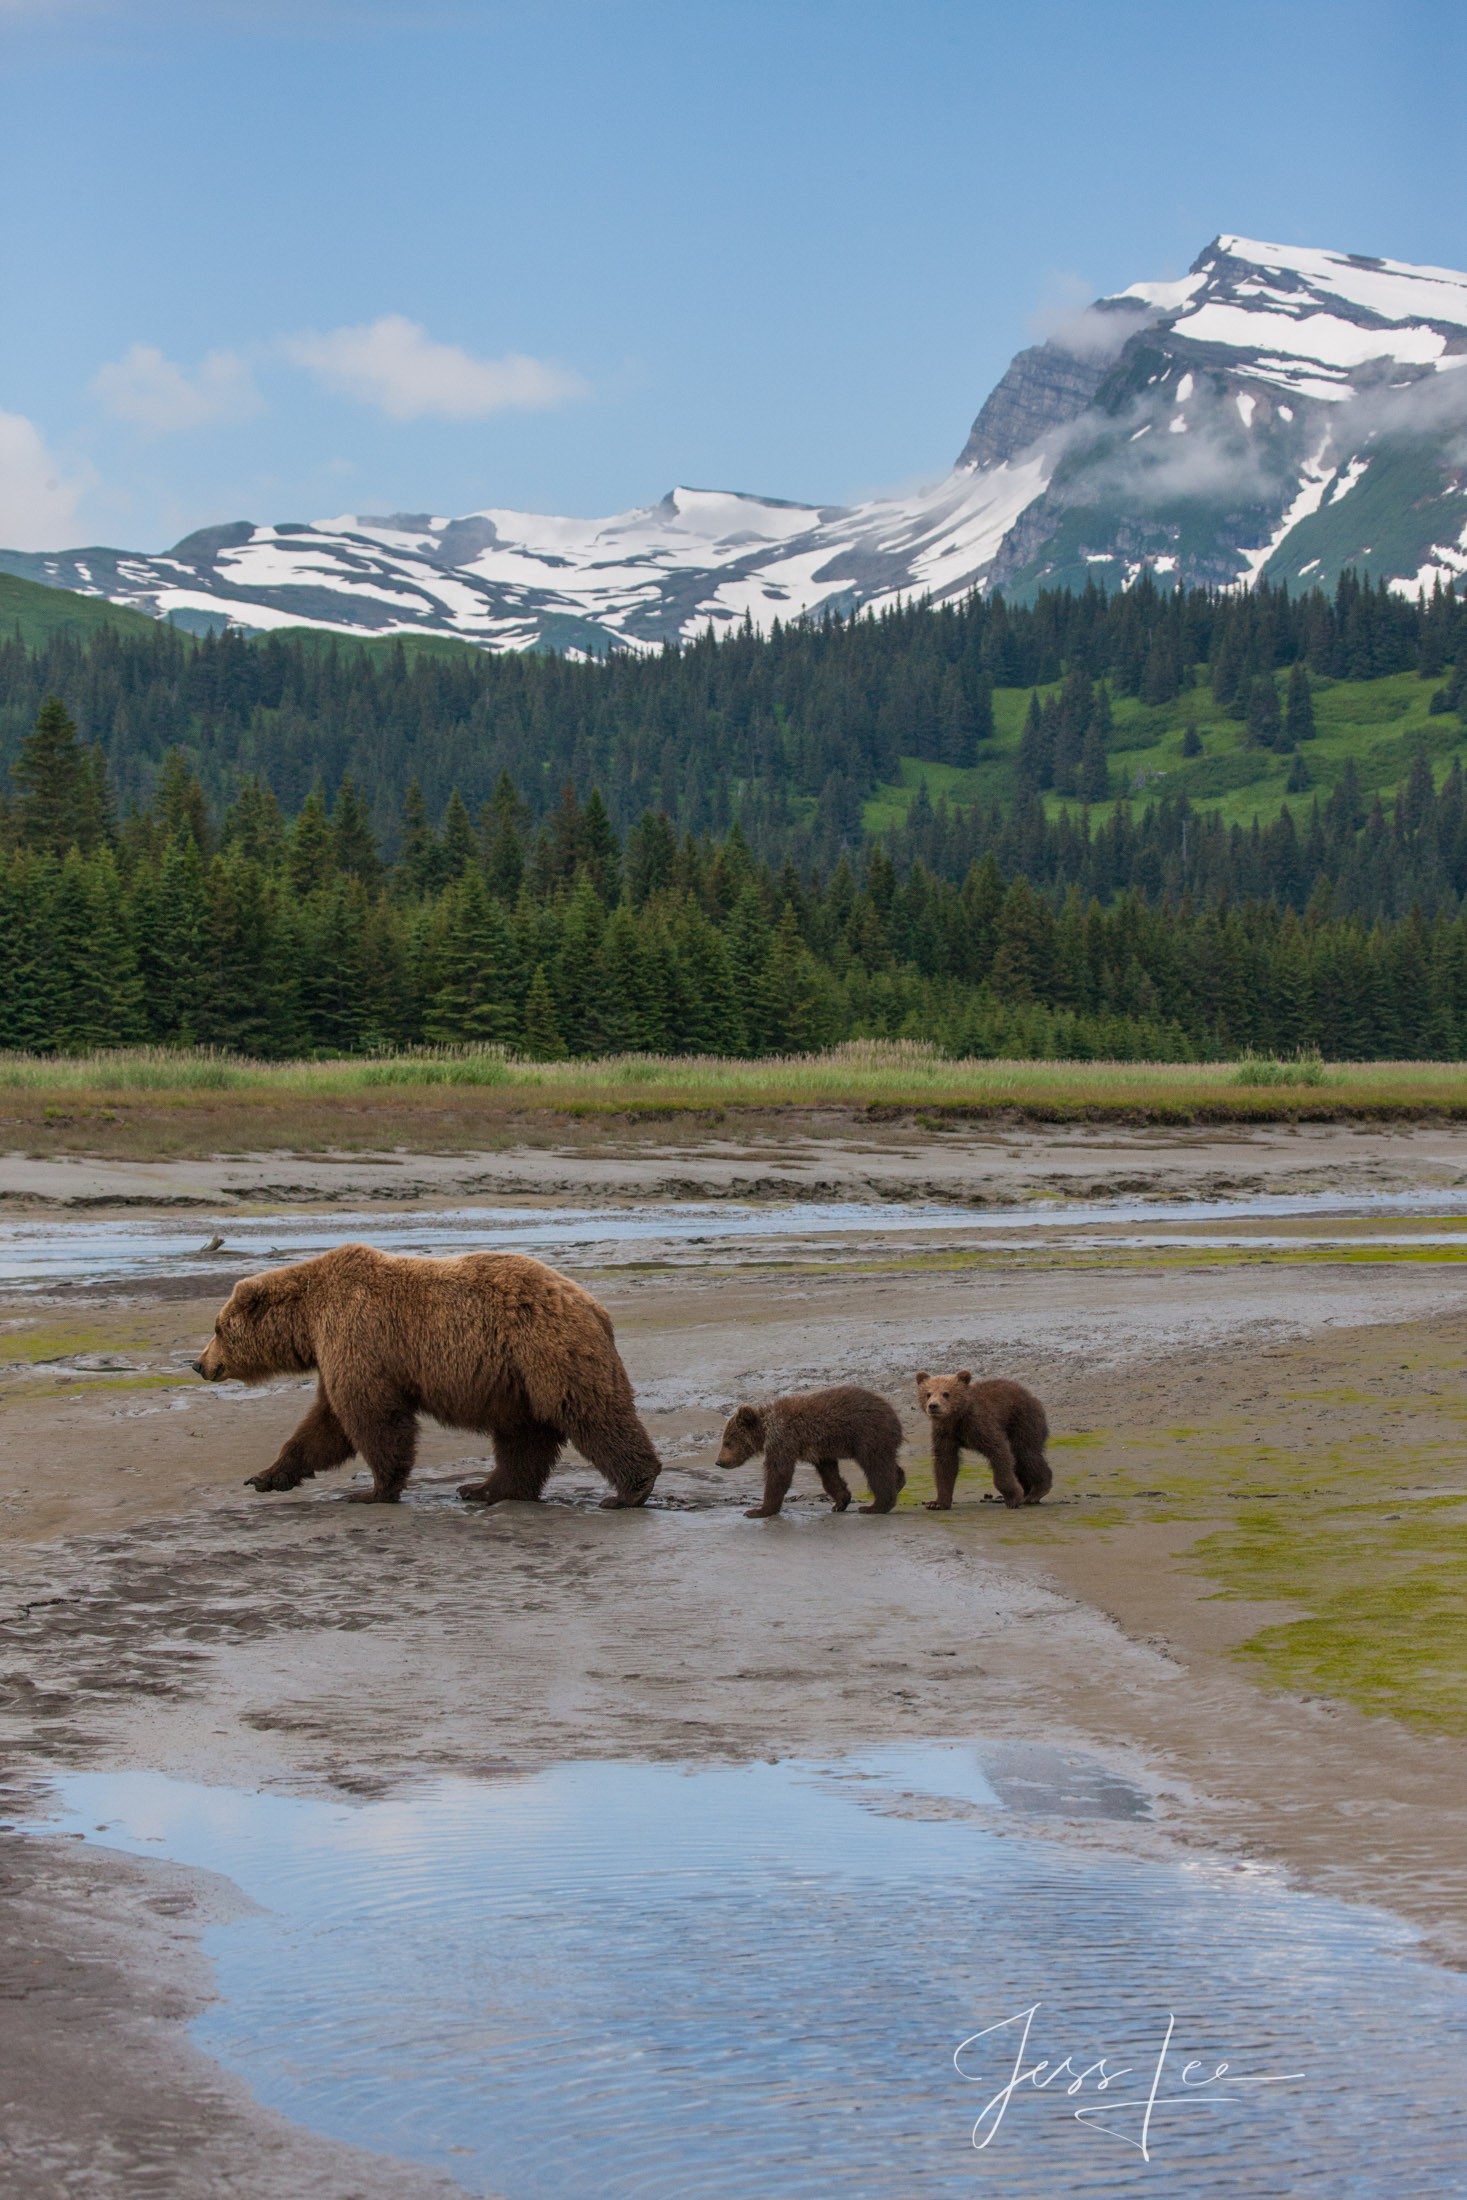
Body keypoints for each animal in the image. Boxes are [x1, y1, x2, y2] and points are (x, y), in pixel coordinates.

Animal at [192, 1249, 664, 1504]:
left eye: (217, 1328)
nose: (198, 1364)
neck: (308, 1319)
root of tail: (593, 1305)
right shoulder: (339, 1354)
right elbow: (324, 1425)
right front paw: (266, 1476)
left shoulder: (358, 1336)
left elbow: (371, 1418)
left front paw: (372, 1490)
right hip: (517, 1379)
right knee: (524, 1435)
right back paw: (485, 1488)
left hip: (547, 1351)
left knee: (591, 1413)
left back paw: (629, 1490)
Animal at [721, 1390, 910, 1513]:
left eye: (727, 1442)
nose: (720, 1461)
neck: (766, 1429)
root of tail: (896, 1418)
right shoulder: (820, 1451)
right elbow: (830, 1475)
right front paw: (840, 1502)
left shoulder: (783, 1440)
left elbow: (779, 1474)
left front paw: (759, 1510)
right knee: (887, 1464)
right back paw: (898, 1481)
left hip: (867, 1435)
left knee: (876, 1469)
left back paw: (875, 1506)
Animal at [910, 1364, 1051, 1504]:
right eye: (928, 1394)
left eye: (946, 1393)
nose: (933, 1405)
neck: (958, 1417)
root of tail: (1030, 1395)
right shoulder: (945, 1433)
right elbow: (945, 1462)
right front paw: (937, 1503)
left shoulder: (980, 1425)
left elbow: (999, 1452)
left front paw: (1013, 1497)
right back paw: (1028, 1491)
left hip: (1023, 1421)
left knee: (1026, 1454)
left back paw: (1036, 1492)